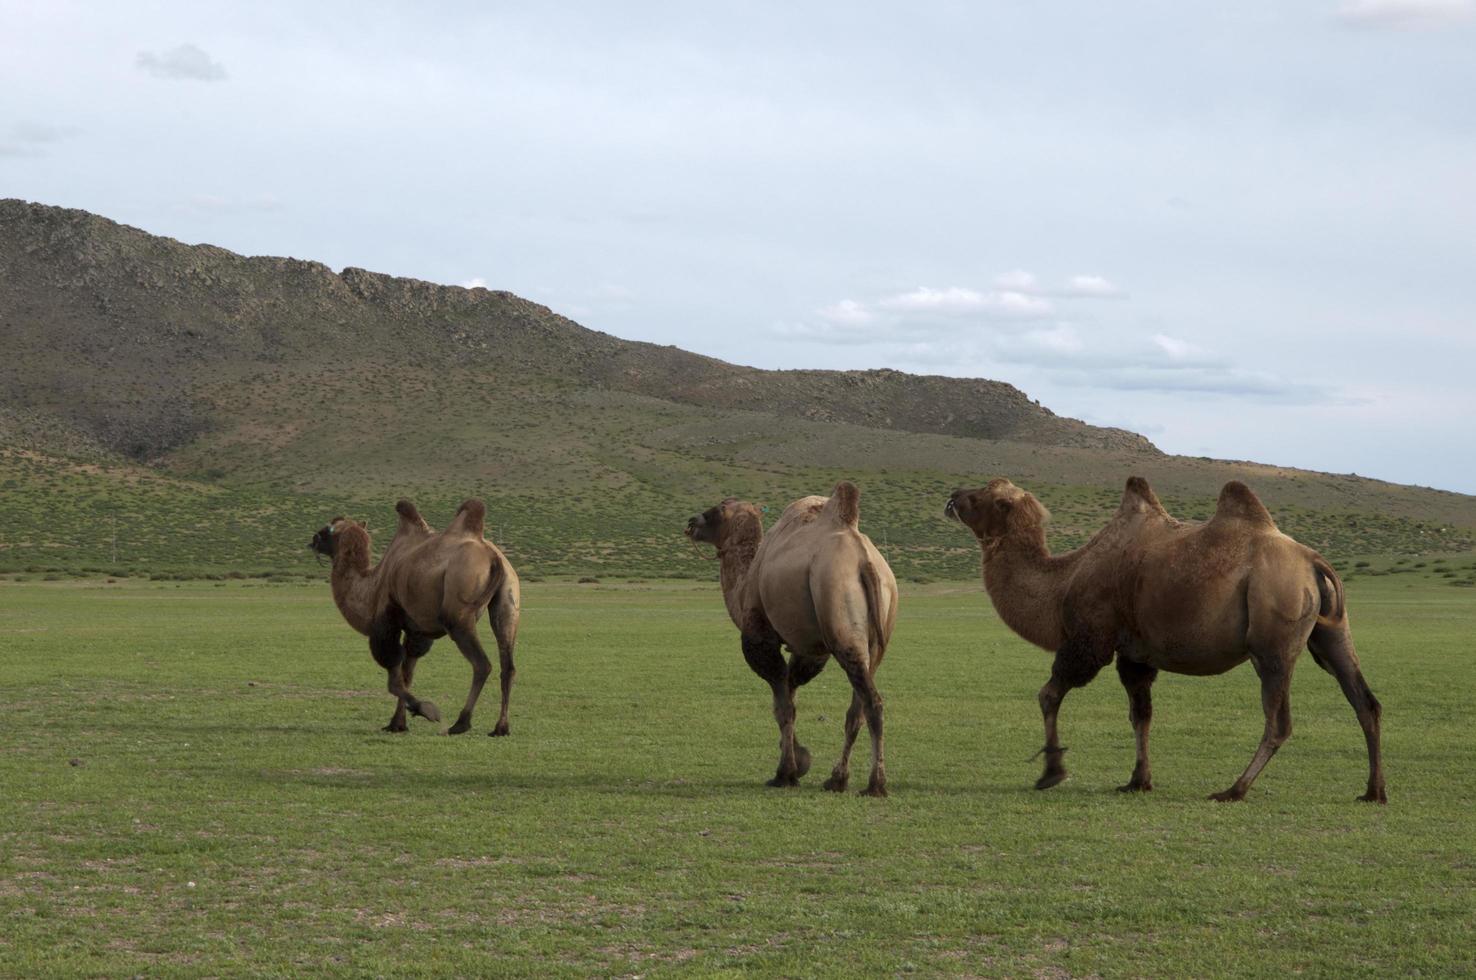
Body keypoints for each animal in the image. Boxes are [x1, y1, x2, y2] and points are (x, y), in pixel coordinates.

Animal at [308, 498, 522, 735]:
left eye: (327, 529)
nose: (313, 539)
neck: (370, 586)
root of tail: (494, 558)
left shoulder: (386, 621)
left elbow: (394, 678)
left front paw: (425, 710)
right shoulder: (417, 630)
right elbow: (407, 673)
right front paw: (397, 723)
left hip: (458, 613)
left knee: (482, 664)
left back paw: (461, 723)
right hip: (508, 601)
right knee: (508, 665)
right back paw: (501, 727)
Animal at [681, 481, 897, 796]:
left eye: (719, 509)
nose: (692, 521)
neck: (744, 583)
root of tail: (865, 562)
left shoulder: (760, 636)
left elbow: (782, 705)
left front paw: (785, 773)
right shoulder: (809, 650)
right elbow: (789, 695)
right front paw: (800, 759)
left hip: (838, 612)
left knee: (873, 703)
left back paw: (874, 784)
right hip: (878, 634)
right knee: (856, 708)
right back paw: (836, 779)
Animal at [944, 475, 1381, 802]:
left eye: (986, 496)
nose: (953, 496)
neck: (1063, 581)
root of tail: (1313, 561)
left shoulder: (1091, 638)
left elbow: (1049, 694)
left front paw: (1052, 772)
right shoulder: (1135, 654)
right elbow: (1141, 714)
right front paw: (1138, 780)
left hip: (1273, 638)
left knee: (1279, 720)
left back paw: (1233, 789)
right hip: (1332, 631)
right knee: (1365, 701)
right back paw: (1374, 791)